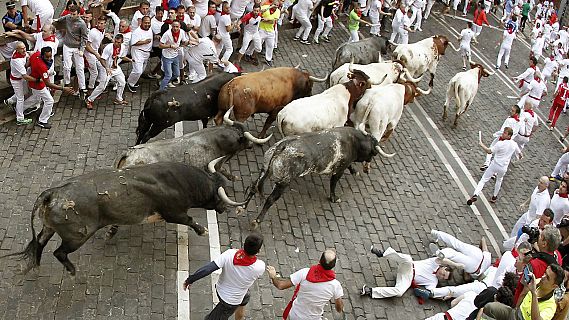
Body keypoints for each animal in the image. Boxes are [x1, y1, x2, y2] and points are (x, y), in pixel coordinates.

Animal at [2, 162, 246, 276]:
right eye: (219, 195)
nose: (224, 208)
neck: (179, 181)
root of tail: (52, 193)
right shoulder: (173, 212)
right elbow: (188, 220)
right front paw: (203, 230)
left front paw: (111, 232)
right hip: (78, 236)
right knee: (58, 252)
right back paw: (71, 270)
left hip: (49, 227)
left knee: (40, 242)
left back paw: (36, 264)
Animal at [243, 127, 382, 228]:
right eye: (372, 151)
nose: (370, 161)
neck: (353, 141)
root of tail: (282, 145)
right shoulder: (339, 170)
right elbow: (333, 183)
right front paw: (334, 198)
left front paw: (355, 171)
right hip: (283, 182)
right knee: (270, 199)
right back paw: (257, 220)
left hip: (265, 169)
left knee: (254, 186)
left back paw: (242, 208)